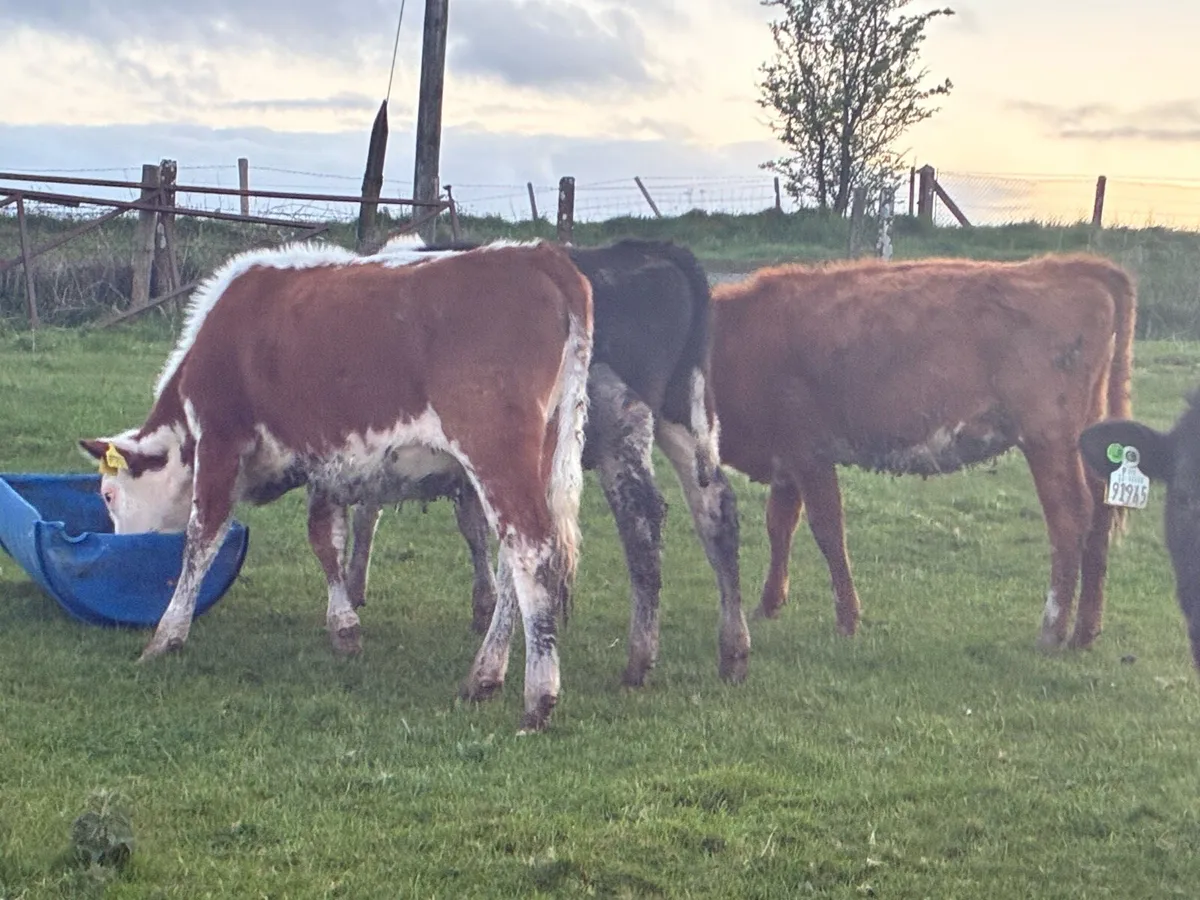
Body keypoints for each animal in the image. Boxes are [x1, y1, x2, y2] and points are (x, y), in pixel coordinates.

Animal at [79, 238, 593, 732]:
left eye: (108, 493)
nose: (122, 548)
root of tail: (537, 255)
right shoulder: (328, 462)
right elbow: (327, 540)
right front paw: (344, 627)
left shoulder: (221, 440)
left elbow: (201, 539)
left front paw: (166, 636)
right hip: (539, 454)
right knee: (512, 561)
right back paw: (484, 677)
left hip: (495, 453)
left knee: (530, 550)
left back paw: (538, 701)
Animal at [348, 239, 752, 688]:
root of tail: (641, 250)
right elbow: (469, 526)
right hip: (679, 416)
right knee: (715, 506)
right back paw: (733, 651)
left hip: (620, 426)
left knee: (642, 520)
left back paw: (638, 658)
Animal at [710, 253, 1137, 651]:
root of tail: (1066, 266)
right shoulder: (786, 460)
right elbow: (779, 526)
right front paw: (768, 604)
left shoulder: (809, 454)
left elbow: (828, 531)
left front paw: (847, 620)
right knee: (1101, 512)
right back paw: (1084, 632)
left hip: (1048, 439)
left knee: (1070, 517)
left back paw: (1052, 631)